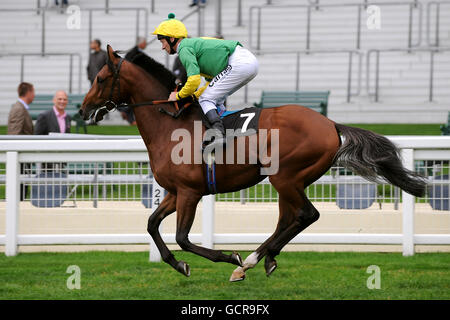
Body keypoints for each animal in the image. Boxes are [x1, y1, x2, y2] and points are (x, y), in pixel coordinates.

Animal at [80, 44, 426, 280]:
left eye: (100, 77)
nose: (83, 109)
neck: (169, 124)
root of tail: (330, 124)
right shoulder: (175, 192)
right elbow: (152, 225)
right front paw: (178, 264)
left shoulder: (190, 192)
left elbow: (182, 238)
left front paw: (227, 257)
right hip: (292, 180)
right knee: (289, 218)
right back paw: (261, 258)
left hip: (285, 176)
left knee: (307, 214)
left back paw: (250, 260)